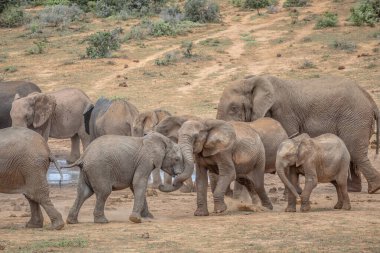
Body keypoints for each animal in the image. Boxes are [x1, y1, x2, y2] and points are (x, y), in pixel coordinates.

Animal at [217, 75, 380, 194]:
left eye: (233, 108)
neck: (252, 80)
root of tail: (370, 100)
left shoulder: (283, 112)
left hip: (356, 118)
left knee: (355, 151)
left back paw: (373, 189)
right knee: (352, 153)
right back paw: (353, 190)